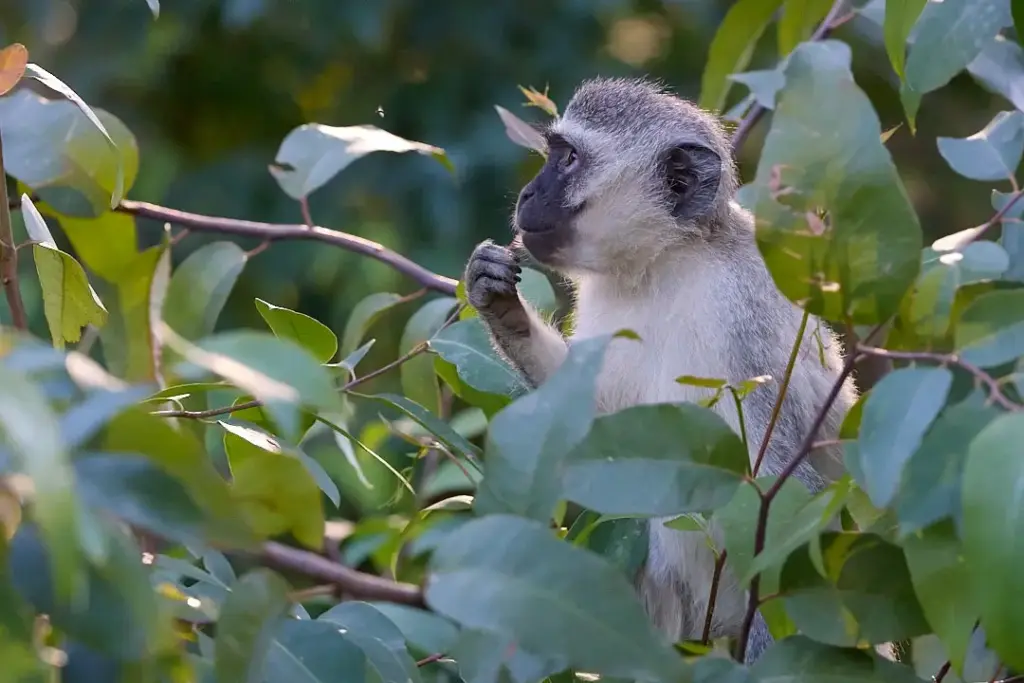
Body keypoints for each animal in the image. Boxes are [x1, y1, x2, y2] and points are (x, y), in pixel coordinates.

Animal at [463, 77, 858, 663]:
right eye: (554, 153)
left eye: (570, 159)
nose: (529, 194)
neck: (665, 262)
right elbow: (599, 432)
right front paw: (502, 309)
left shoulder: (741, 316)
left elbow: (779, 489)